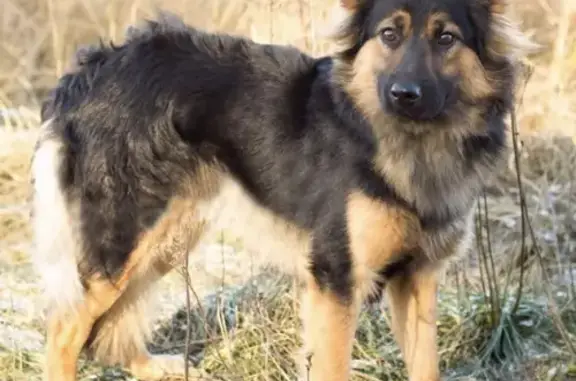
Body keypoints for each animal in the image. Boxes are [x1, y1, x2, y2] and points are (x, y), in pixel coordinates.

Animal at [30, 0, 536, 378]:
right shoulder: (336, 278)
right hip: (126, 234)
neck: (409, 141)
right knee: (65, 328)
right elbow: (333, 368)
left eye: (446, 37)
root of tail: (95, 67)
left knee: (110, 324)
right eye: (389, 35)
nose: (404, 95)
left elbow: (426, 367)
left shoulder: (418, 278)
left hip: (168, 234)